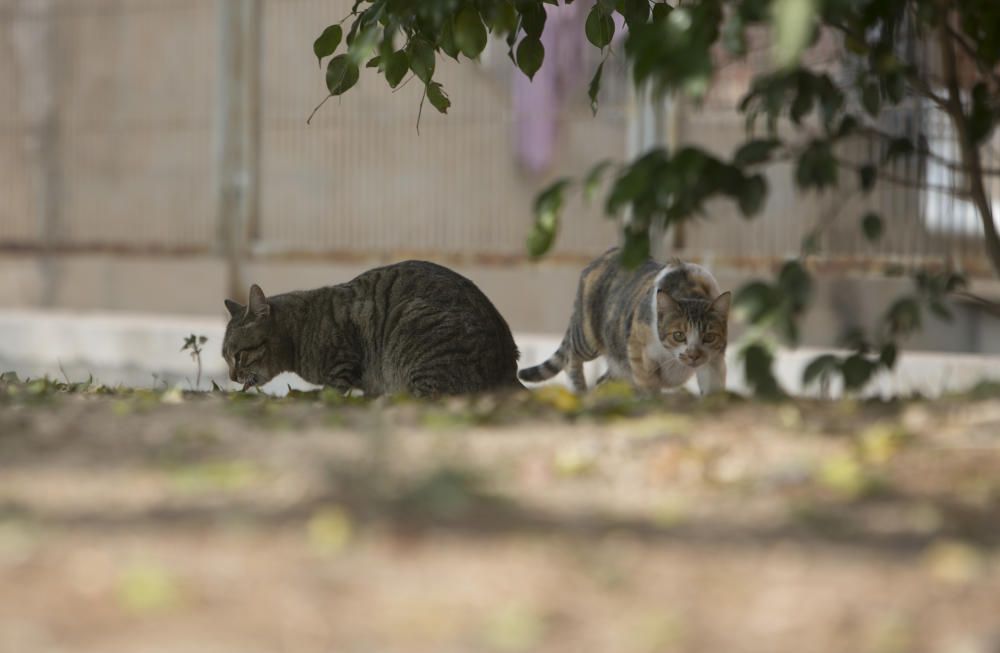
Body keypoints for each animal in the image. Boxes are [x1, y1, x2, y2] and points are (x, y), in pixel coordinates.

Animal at [223, 262, 520, 398]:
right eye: (225, 359)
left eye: (238, 356)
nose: (232, 377)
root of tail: (508, 365)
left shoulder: (342, 362)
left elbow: (333, 391)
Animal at [520, 248, 732, 392]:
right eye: (678, 335)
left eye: (709, 337)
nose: (693, 355)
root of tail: (604, 255)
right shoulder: (639, 353)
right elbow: (648, 387)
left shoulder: (714, 361)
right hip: (588, 337)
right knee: (570, 356)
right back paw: (578, 390)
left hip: (618, 362)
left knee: (602, 380)